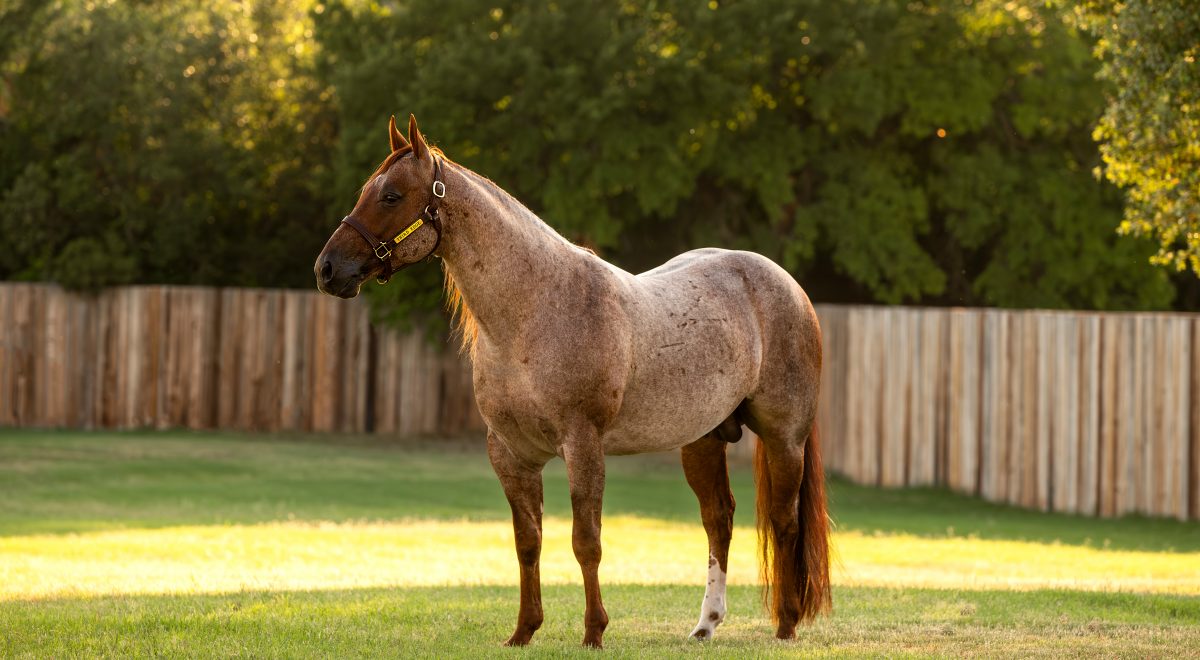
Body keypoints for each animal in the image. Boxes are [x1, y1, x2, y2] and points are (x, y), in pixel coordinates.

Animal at [314, 115, 830, 652]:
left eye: (391, 195)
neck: (535, 311)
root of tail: (787, 286)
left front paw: (594, 632)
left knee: (784, 521)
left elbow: (587, 541)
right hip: (703, 441)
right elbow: (527, 542)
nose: (328, 269)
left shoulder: (582, 445)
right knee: (719, 519)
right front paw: (524, 630)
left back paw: (787, 623)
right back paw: (706, 624)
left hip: (784, 437)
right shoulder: (511, 454)